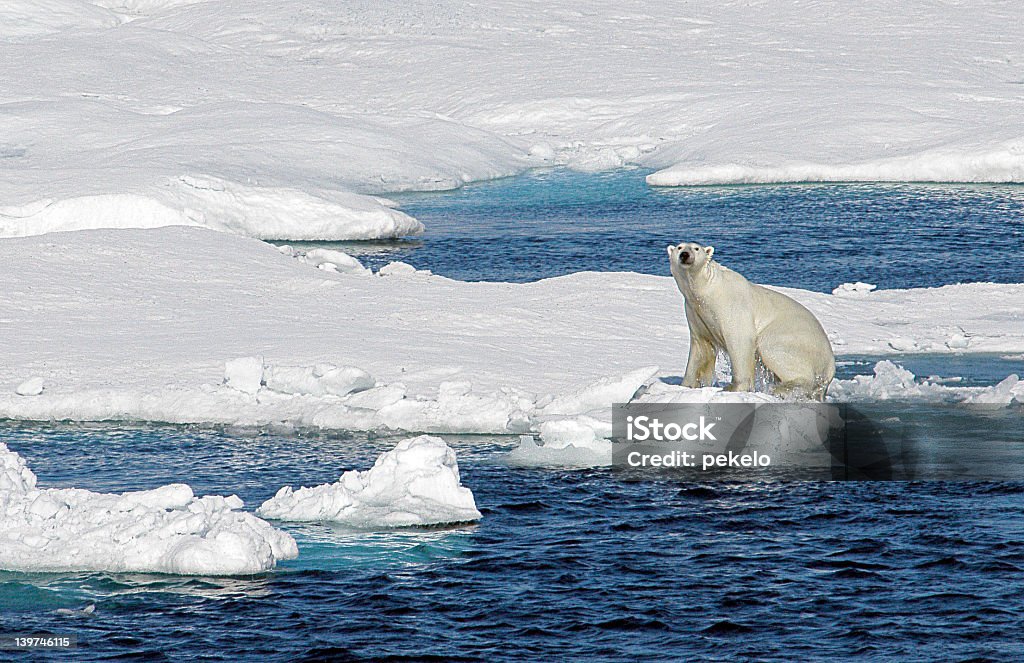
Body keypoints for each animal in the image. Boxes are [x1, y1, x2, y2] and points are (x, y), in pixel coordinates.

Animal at [667, 242, 835, 399]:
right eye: (680, 247)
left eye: (696, 248)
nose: (685, 255)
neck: (707, 290)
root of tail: (830, 365)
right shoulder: (696, 312)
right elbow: (700, 348)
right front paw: (686, 384)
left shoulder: (731, 306)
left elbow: (739, 341)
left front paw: (733, 387)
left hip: (794, 338)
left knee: (775, 349)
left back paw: (781, 388)